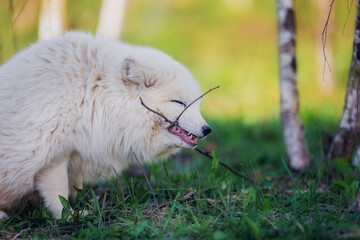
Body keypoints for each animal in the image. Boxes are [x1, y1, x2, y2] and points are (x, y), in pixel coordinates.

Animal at [0, 31, 211, 219]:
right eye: (179, 102)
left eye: (197, 104)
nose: (207, 129)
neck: (92, 93)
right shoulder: (51, 152)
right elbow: (58, 195)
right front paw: (69, 217)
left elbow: (72, 188)